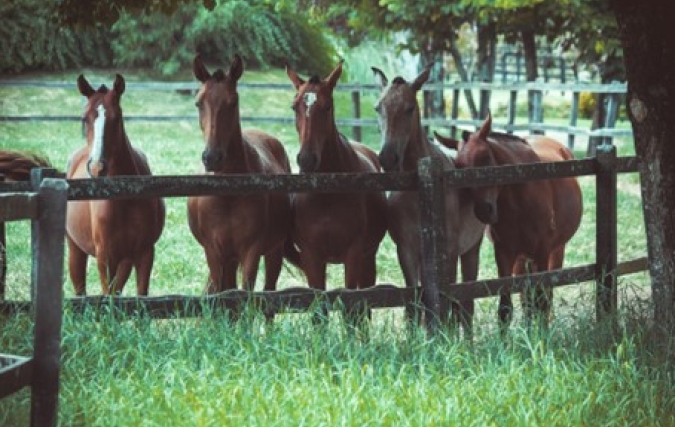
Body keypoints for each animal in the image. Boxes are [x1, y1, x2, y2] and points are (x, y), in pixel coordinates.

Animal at [66, 73, 166, 296]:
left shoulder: (144, 253)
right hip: (75, 250)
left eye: (117, 117)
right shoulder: (105, 257)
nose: (97, 167)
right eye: (84, 118)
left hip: (125, 260)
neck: (124, 197)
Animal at [186, 54, 292, 298]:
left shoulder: (251, 251)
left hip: (274, 251)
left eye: (232, 102)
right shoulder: (214, 252)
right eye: (198, 103)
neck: (228, 194)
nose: (212, 157)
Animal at [286, 59, 390, 320]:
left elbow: (352, 307)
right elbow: (318, 312)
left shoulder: (354, 254)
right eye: (294, 107)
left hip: (368, 257)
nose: (306, 160)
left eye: (327, 106)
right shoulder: (312, 256)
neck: (327, 194)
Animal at [372, 65, 488, 338]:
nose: (387, 158)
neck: (418, 191)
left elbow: (450, 302)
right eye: (378, 108)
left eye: (409, 108)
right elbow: (415, 302)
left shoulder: (450, 251)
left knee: (466, 303)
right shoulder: (406, 250)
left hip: (471, 250)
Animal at [436, 114, 584, 334]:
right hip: (522, 258)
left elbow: (541, 300)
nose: (484, 211)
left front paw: (541, 337)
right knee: (526, 298)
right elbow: (506, 307)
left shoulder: (542, 252)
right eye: (459, 166)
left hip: (556, 251)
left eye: (485, 158)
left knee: (545, 296)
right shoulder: (505, 254)